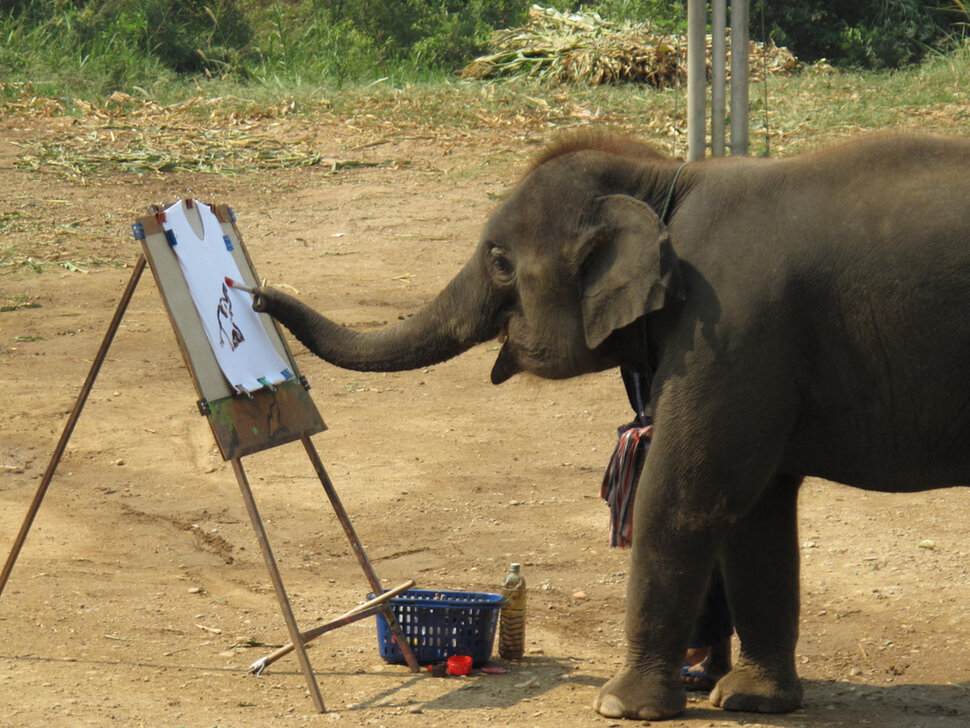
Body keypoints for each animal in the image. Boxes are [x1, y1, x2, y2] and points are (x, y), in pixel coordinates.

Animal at [248, 132, 968, 724]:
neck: (664, 177)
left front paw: (620, 706)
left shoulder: (731, 331)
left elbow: (683, 497)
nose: (255, 294)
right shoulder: (756, 355)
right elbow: (755, 512)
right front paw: (750, 700)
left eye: (500, 261)